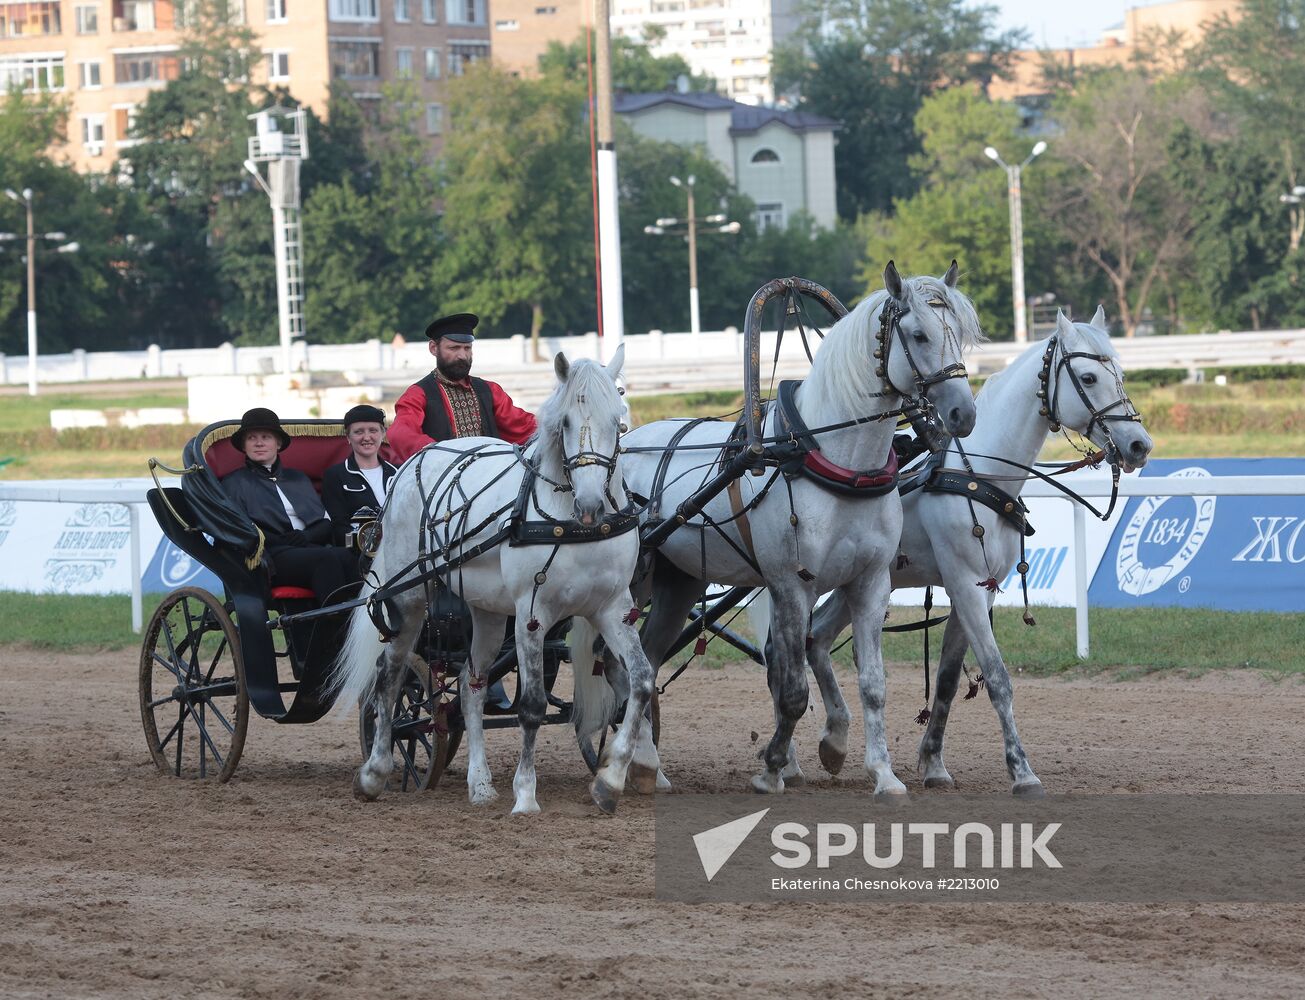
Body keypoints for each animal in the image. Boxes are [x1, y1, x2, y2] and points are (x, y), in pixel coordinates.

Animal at [326, 349, 652, 819]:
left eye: (618, 420)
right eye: (565, 423)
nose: (591, 504)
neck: (571, 523)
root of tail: (411, 463)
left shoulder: (612, 609)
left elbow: (640, 682)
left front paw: (609, 781)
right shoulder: (533, 614)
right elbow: (531, 706)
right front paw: (526, 794)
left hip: (488, 612)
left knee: (470, 684)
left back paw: (478, 782)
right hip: (408, 598)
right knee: (389, 676)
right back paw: (375, 771)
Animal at [621, 263, 981, 798]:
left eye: (960, 333)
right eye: (918, 334)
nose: (963, 413)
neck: (835, 461)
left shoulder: (871, 583)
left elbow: (873, 685)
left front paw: (883, 774)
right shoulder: (791, 585)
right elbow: (791, 689)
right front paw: (772, 767)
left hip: (678, 582)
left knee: (645, 658)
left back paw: (647, 765)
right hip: (632, 583)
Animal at [793, 309, 1153, 793]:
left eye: (1121, 375)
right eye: (1089, 377)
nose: (1139, 445)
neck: (979, 474)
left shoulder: (981, 588)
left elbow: (947, 680)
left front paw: (933, 763)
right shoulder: (964, 584)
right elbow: (998, 678)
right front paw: (1021, 771)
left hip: (858, 583)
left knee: (817, 639)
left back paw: (834, 741)